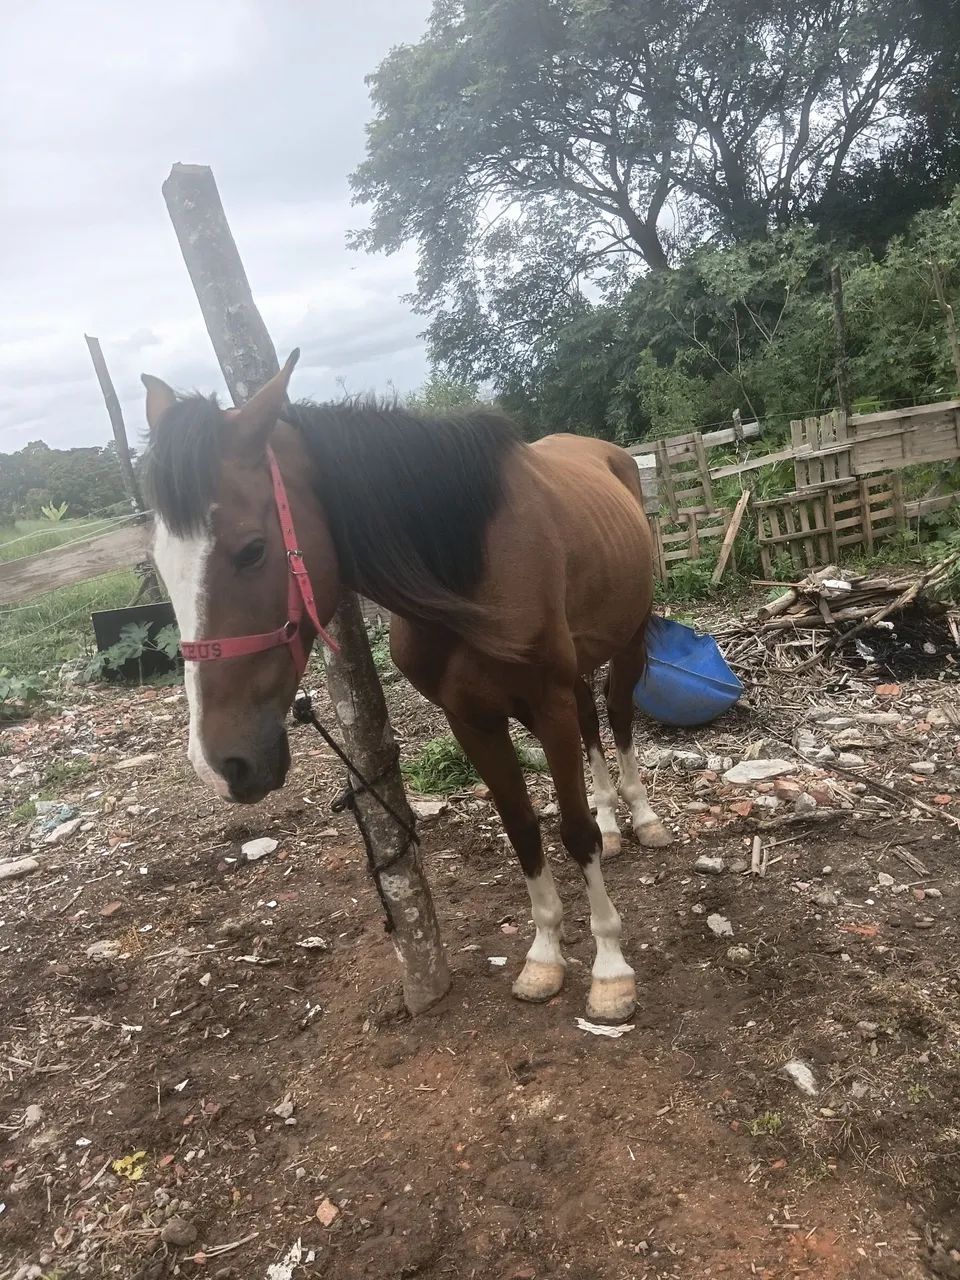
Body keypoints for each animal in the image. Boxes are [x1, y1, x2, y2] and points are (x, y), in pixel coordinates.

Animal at [141, 351, 671, 1024]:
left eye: (253, 550)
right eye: (162, 566)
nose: (220, 764)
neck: (471, 563)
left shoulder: (543, 703)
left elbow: (572, 833)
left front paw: (609, 968)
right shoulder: (471, 718)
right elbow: (522, 827)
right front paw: (545, 955)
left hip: (627, 642)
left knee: (618, 716)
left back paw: (642, 816)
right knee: (591, 725)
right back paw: (613, 821)